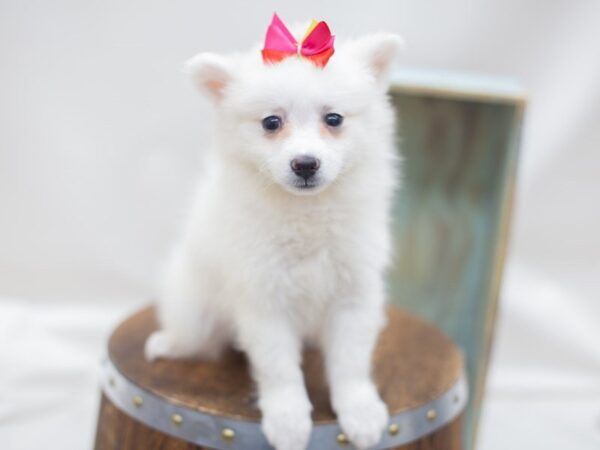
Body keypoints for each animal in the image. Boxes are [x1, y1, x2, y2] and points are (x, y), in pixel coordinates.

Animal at [145, 26, 404, 450]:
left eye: (334, 118)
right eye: (270, 123)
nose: (305, 163)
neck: (307, 214)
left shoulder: (354, 291)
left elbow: (350, 361)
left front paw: (360, 411)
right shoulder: (264, 296)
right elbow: (279, 367)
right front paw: (288, 419)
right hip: (194, 302)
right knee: (196, 334)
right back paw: (170, 343)